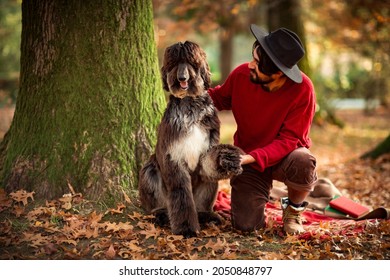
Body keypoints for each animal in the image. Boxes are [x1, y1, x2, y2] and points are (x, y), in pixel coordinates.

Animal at [137, 41, 241, 236]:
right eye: (174, 63)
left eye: (192, 62)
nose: (182, 78)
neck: (190, 104)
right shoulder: (174, 156)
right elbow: (181, 196)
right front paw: (186, 228)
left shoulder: (206, 150)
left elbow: (209, 162)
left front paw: (227, 158)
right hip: (150, 170)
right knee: (155, 199)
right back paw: (160, 213)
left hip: (210, 186)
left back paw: (206, 215)